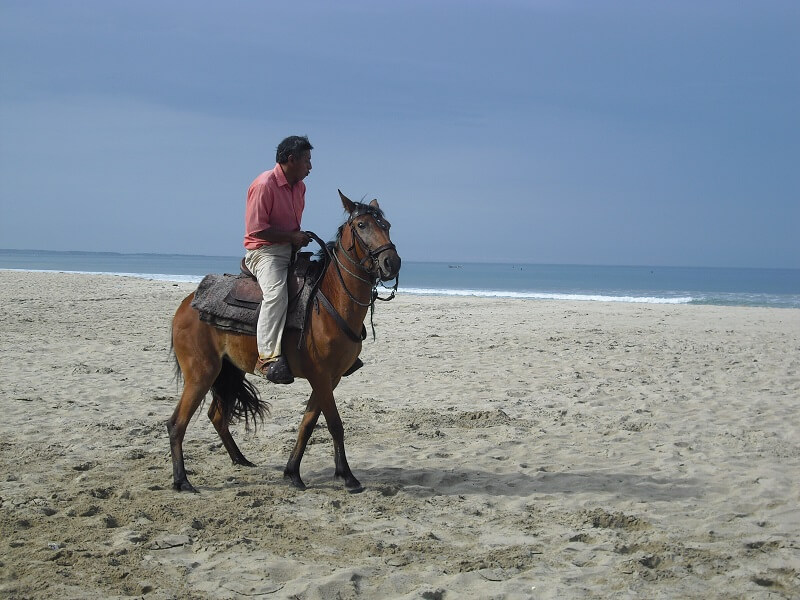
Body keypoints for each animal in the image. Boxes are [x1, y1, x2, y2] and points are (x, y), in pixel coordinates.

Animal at [170, 192, 406, 492]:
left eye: (386, 225)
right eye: (362, 225)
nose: (391, 263)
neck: (330, 302)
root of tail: (187, 304)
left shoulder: (330, 379)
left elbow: (308, 423)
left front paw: (293, 472)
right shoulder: (320, 376)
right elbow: (334, 423)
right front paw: (348, 477)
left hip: (227, 371)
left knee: (217, 416)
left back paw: (240, 459)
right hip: (201, 374)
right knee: (177, 423)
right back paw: (182, 480)